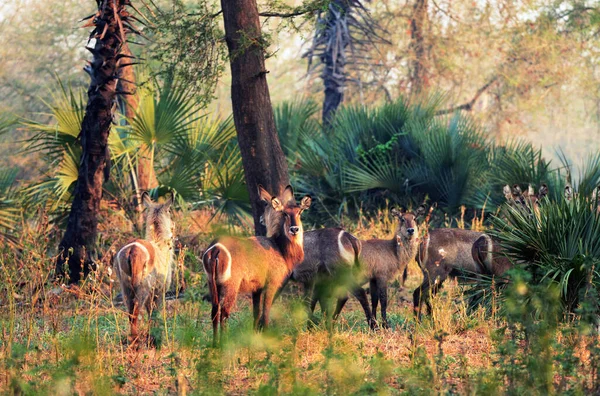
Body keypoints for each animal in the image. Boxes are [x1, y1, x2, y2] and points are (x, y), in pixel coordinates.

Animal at [114, 192, 175, 340]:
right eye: (170, 211)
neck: (160, 246)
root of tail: (132, 250)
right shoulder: (159, 290)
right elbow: (153, 312)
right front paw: (154, 334)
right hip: (143, 286)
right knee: (135, 313)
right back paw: (136, 339)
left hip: (125, 287)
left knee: (129, 312)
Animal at [203, 185, 312, 344]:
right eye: (285, 213)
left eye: (300, 211)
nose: (294, 229)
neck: (280, 248)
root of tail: (215, 248)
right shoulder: (272, 283)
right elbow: (266, 312)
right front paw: (265, 337)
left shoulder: (256, 288)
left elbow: (256, 312)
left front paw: (254, 336)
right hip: (231, 285)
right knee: (224, 311)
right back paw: (224, 342)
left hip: (212, 284)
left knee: (214, 311)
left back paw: (214, 343)